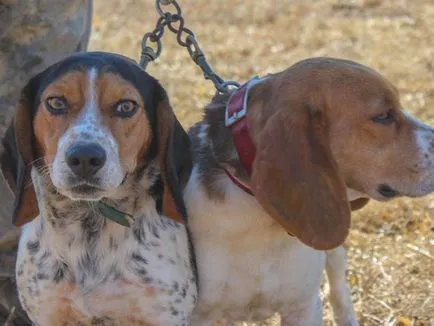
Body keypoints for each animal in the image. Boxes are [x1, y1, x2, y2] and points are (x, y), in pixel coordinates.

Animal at [0, 52, 197, 324]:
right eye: (56, 102)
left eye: (126, 106)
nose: (84, 157)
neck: (88, 222)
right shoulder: (47, 312)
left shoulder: (164, 313)